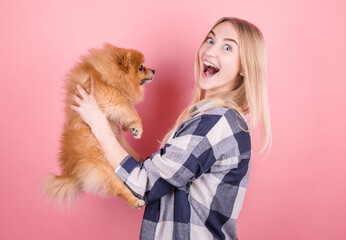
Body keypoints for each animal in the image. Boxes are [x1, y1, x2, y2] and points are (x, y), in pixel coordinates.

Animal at [41, 41, 155, 208]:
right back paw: (135, 201)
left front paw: (130, 127)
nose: (153, 70)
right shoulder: (111, 98)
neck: (109, 76)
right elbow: (130, 110)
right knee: (120, 189)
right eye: (141, 67)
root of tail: (71, 171)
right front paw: (137, 127)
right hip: (103, 170)